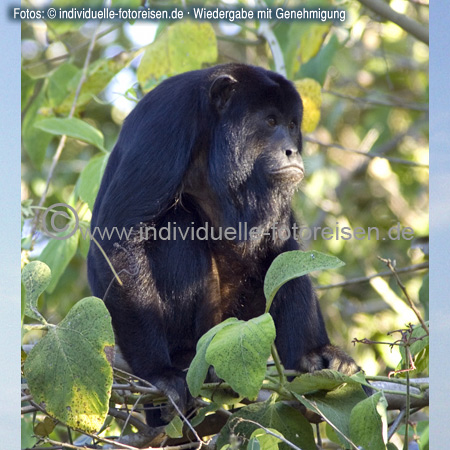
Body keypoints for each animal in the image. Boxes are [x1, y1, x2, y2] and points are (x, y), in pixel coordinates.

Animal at [88, 64, 358, 426]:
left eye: (291, 125)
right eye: (270, 121)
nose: (293, 150)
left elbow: (285, 246)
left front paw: (316, 354)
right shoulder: (166, 123)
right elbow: (118, 242)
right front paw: (159, 372)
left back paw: (309, 359)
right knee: (177, 224)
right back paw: (184, 358)